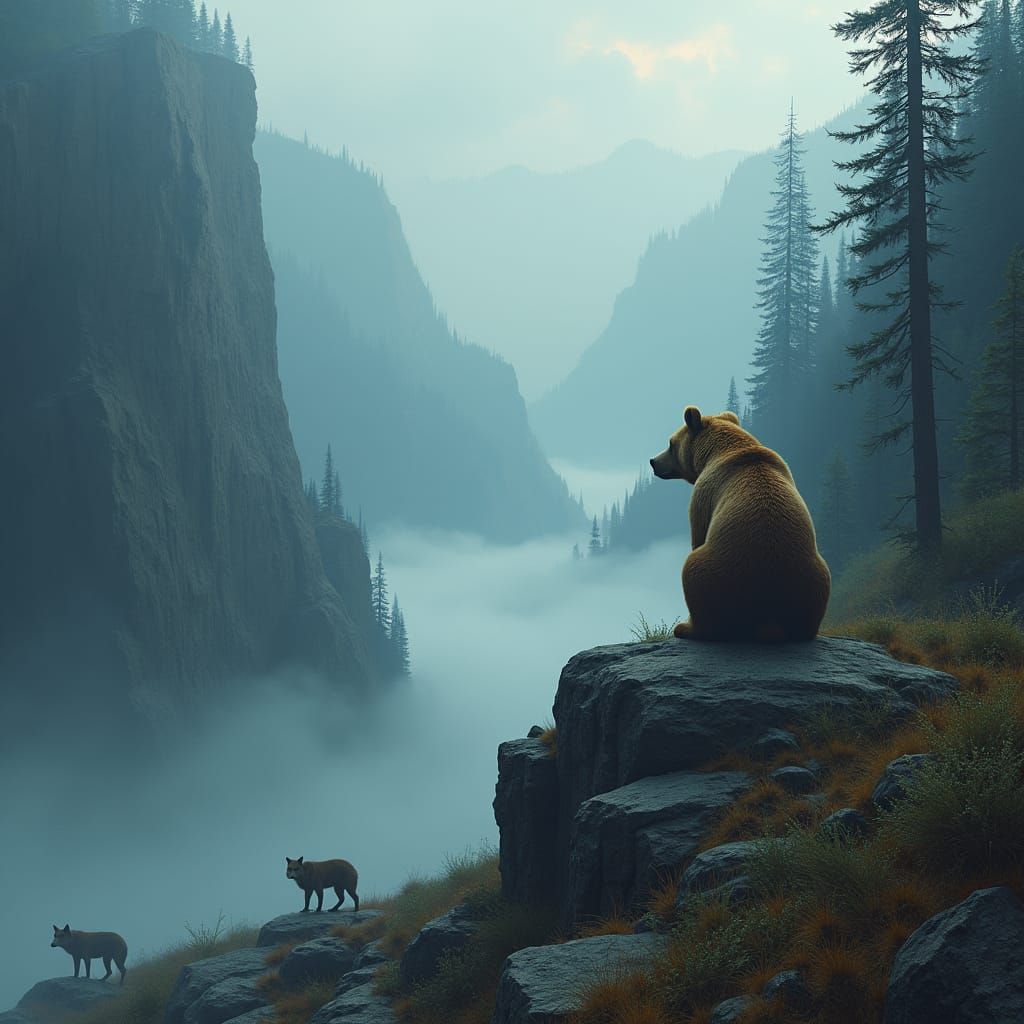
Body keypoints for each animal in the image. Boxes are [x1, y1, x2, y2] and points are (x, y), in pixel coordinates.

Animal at [650, 406, 830, 641]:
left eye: (670, 444)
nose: (653, 461)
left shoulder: (704, 493)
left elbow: (698, 534)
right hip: (814, 578)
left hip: (719, 575)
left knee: (693, 572)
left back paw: (686, 628)